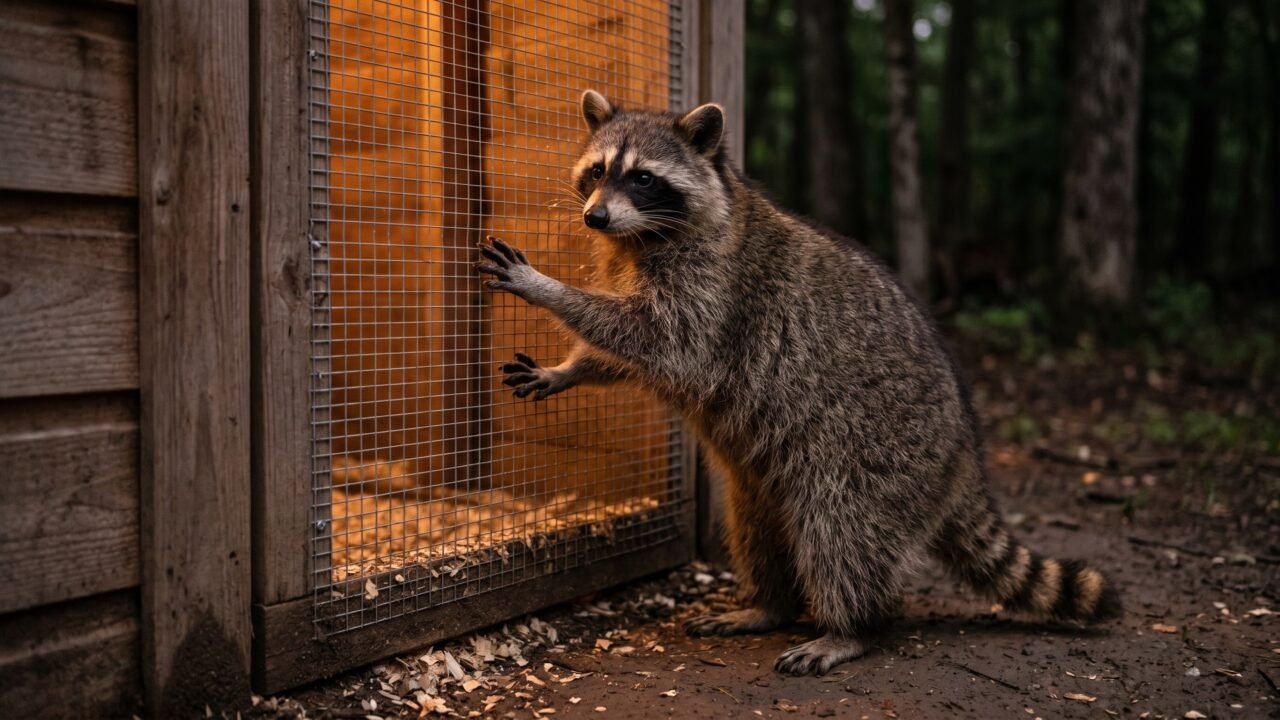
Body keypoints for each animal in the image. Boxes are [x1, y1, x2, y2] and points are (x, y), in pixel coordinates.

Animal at [475, 89, 1121, 676]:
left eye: (643, 178)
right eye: (598, 171)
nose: (595, 217)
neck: (642, 237)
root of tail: (963, 447)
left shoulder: (714, 290)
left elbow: (656, 340)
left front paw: (549, 289)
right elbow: (626, 353)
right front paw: (572, 367)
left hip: (874, 457)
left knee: (841, 534)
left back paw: (852, 627)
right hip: (760, 479)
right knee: (755, 528)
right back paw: (771, 605)